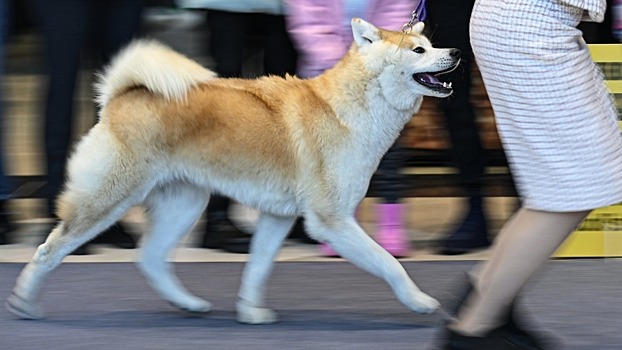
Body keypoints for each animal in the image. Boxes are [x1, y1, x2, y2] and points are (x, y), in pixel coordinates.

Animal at [6, 17, 464, 324]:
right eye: (419, 51)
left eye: (430, 43)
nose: (457, 52)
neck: (352, 106)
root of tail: (121, 95)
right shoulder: (331, 221)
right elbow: (389, 263)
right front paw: (419, 301)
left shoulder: (278, 217)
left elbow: (258, 268)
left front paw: (250, 311)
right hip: (108, 200)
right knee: (50, 249)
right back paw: (24, 302)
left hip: (184, 204)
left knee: (151, 258)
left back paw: (188, 303)